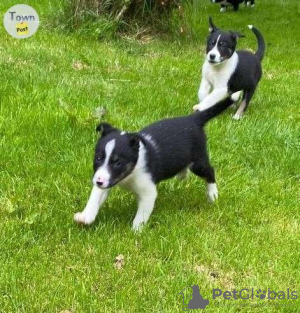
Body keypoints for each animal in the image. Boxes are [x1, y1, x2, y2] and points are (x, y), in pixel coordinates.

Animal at [73, 98, 234, 230]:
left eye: (118, 162)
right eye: (98, 158)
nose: (98, 181)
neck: (131, 172)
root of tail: (193, 119)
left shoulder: (147, 191)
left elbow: (142, 214)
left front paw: (135, 230)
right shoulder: (107, 179)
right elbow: (95, 198)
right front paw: (86, 217)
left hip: (198, 161)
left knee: (210, 172)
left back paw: (212, 194)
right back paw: (182, 175)